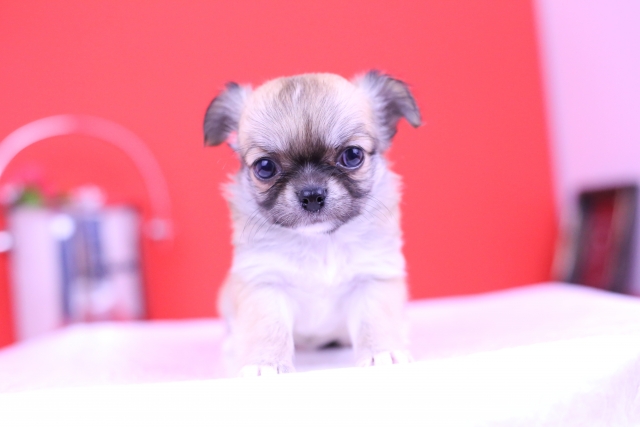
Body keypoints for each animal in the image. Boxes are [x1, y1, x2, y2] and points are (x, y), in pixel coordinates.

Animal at [204, 71, 421, 376]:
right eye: (265, 167)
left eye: (352, 155)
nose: (311, 195)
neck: (320, 242)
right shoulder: (264, 282)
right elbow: (268, 329)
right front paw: (265, 364)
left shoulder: (372, 277)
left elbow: (374, 321)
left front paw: (383, 353)